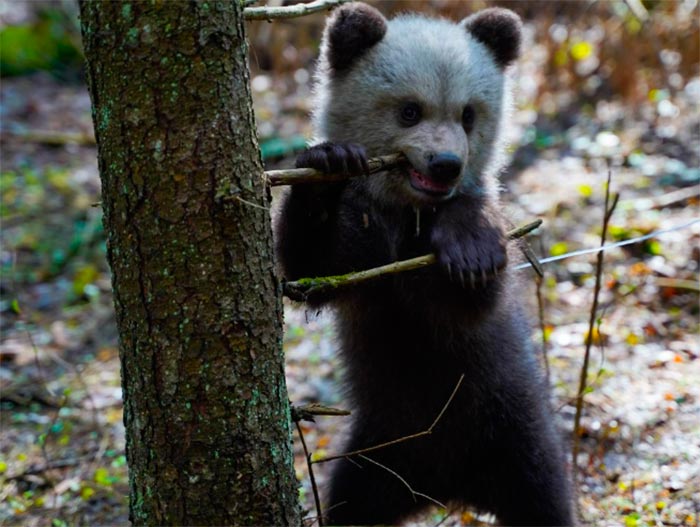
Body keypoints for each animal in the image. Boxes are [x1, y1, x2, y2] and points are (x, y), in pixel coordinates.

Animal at [275, 3, 574, 525]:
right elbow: (310, 271)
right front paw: (331, 163)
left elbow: (467, 298)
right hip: (377, 454)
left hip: (512, 433)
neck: (407, 207)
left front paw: (470, 254)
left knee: (544, 500)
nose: (446, 164)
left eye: (468, 114)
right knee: (351, 504)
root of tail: (448, 488)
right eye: (410, 109)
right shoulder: (363, 237)